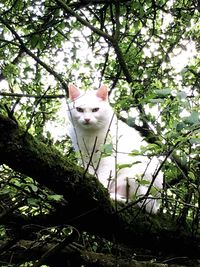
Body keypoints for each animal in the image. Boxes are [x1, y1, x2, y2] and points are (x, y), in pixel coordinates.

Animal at [66, 85, 163, 215]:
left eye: (95, 110)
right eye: (79, 109)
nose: (87, 119)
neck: (90, 135)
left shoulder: (107, 159)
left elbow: (102, 178)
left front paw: (100, 190)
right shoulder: (85, 158)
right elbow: (90, 173)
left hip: (135, 176)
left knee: (139, 203)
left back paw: (116, 197)